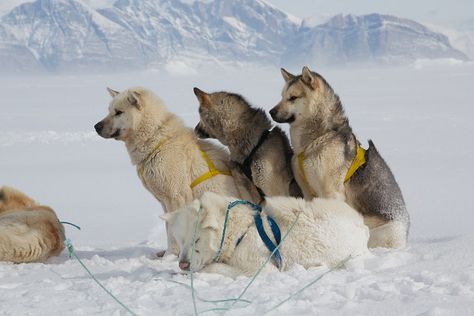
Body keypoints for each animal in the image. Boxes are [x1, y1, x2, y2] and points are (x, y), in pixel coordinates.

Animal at [161, 191, 368, 276]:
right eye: (181, 241)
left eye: (196, 240)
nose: (182, 264)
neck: (241, 232)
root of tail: (362, 227)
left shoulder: (261, 269)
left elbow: (213, 268)